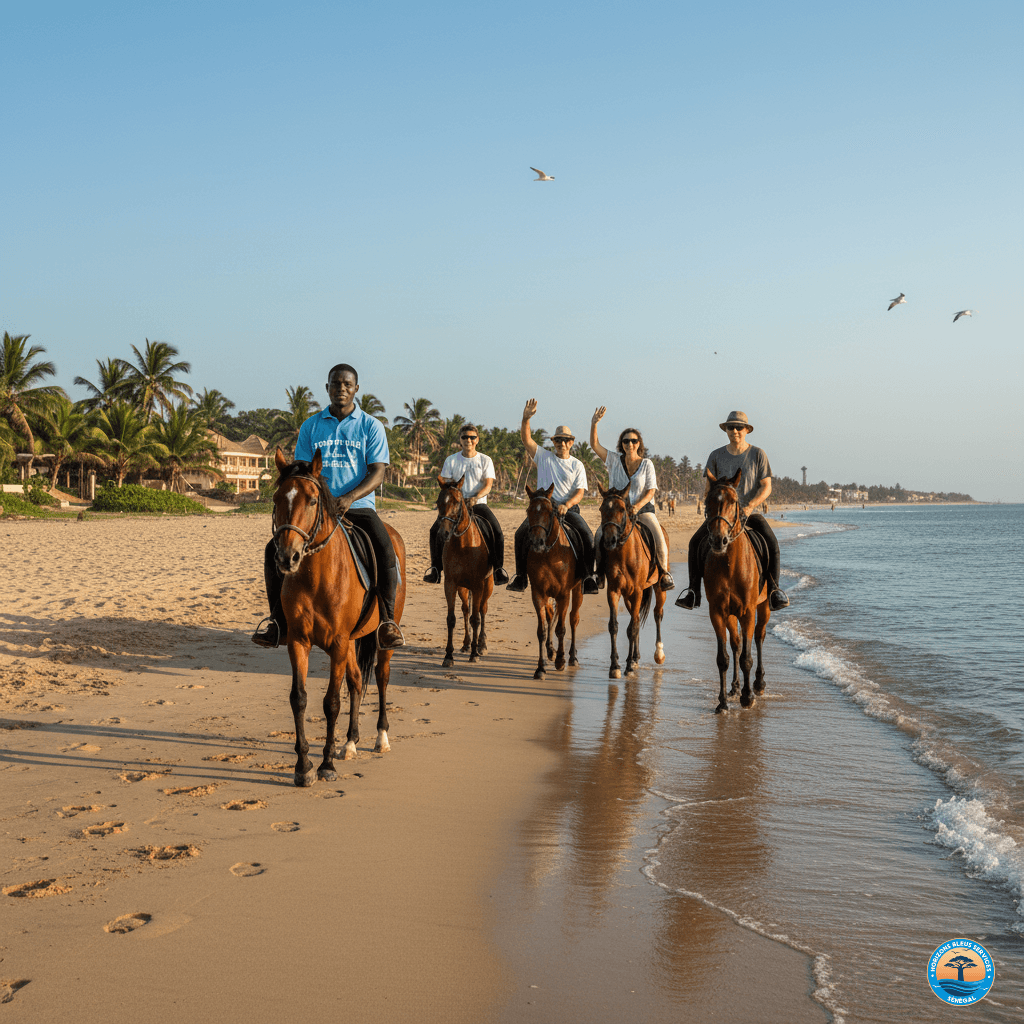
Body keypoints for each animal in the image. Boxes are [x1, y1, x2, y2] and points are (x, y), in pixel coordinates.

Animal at [270, 448, 407, 785]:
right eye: (277, 498)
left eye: (312, 500)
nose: (287, 557)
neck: (315, 576)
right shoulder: (299, 642)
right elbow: (299, 698)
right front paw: (303, 767)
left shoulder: (338, 643)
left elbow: (331, 702)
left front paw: (326, 766)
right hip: (352, 641)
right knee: (357, 680)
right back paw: (350, 743)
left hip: (379, 637)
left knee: (381, 676)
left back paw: (380, 738)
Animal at [432, 475, 494, 667]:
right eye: (438, 502)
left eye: (457, 502)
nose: (443, 533)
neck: (463, 544)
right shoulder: (451, 584)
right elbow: (451, 619)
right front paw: (448, 656)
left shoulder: (478, 585)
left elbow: (476, 618)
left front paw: (474, 653)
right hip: (463, 588)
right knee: (466, 610)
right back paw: (466, 644)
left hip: (487, 585)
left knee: (482, 610)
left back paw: (481, 645)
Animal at [524, 484, 583, 679]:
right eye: (528, 510)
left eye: (550, 512)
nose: (537, 542)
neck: (549, 553)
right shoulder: (538, 593)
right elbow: (542, 630)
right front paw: (540, 667)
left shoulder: (564, 595)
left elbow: (561, 628)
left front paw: (560, 661)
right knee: (550, 616)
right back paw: (551, 651)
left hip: (578, 590)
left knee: (573, 619)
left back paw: (572, 657)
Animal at [597, 485, 667, 679]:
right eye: (601, 509)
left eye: (622, 509)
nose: (609, 540)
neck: (624, 553)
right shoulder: (614, 591)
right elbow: (615, 626)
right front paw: (615, 666)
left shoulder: (637, 591)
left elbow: (632, 627)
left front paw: (628, 665)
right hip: (629, 596)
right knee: (634, 618)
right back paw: (636, 658)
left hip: (658, 588)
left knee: (657, 614)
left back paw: (658, 654)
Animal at [702, 468, 769, 712]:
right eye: (708, 501)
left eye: (734, 502)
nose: (718, 540)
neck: (730, 565)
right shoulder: (717, 612)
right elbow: (724, 658)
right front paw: (722, 702)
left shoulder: (748, 611)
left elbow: (747, 658)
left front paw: (748, 697)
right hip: (731, 615)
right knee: (736, 644)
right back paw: (734, 687)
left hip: (764, 606)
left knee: (759, 637)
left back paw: (758, 683)